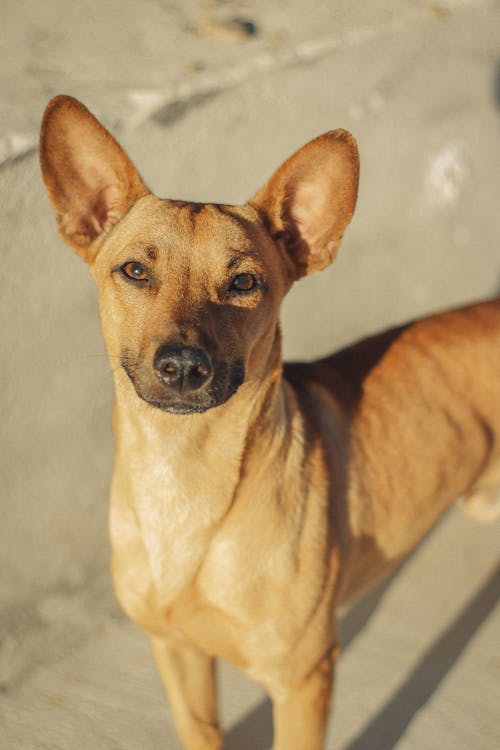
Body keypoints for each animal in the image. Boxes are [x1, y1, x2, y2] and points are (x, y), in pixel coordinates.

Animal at [40, 95, 500, 750]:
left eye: (244, 282)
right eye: (134, 272)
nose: (184, 366)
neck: (187, 485)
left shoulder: (302, 679)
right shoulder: (177, 653)